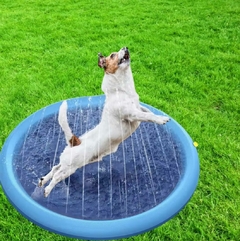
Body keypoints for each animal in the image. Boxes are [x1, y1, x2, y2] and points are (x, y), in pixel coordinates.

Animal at [38, 47, 170, 198]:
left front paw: (158, 115)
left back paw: (43, 180)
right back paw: (48, 189)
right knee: (57, 176)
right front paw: (161, 119)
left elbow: (148, 111)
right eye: (113, 55)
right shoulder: (131, 114)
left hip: (68, 163)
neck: (122, 90)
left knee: (55, 168)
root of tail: (74, 141)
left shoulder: (138, 107)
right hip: (71, 168)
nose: (126, 47)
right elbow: (147, 116)